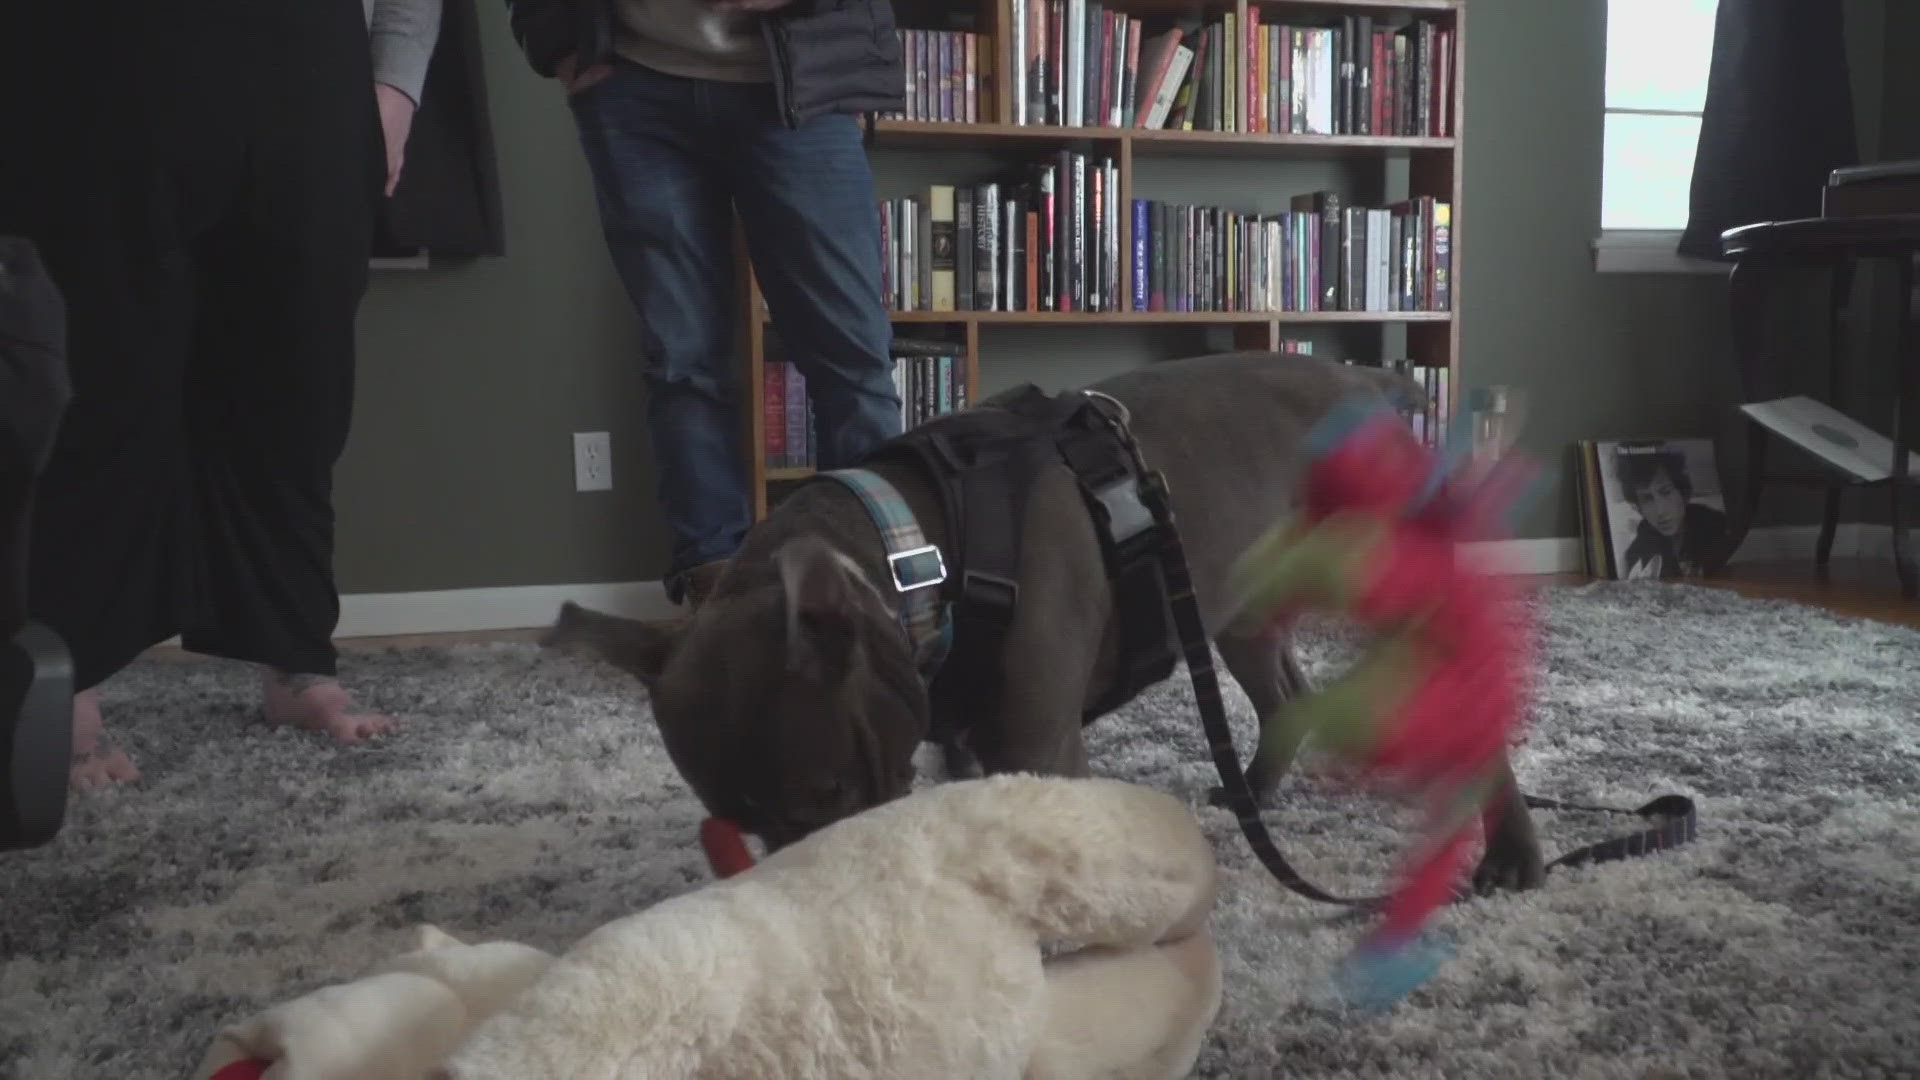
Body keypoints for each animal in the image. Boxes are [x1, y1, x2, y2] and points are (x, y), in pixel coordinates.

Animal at [545, 349, 1543, 887]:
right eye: (742, 825)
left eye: (823, 794)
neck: (919, 549)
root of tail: (1364, 378)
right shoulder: (963, 743)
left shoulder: (1038, 744)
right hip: (1236, 603)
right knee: (1283, 693)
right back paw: (1253, 792)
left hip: (1389, 588)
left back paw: (1512, 854)